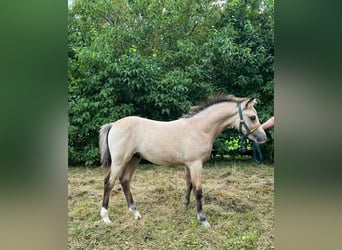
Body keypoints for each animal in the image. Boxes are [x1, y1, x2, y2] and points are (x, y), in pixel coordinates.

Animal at [99, 94, 268, 227]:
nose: (263, 138)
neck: (200, 128)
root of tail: (113, 124)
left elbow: (189, 184)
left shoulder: (189, 165)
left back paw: (135, 213)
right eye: (252, 117)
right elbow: (198, 190)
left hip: (134, 159)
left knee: (125, 180)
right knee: (109, 182)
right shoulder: (196, 164)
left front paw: (185, 206)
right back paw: (106, 217)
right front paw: (203, 219)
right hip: (120, 161)